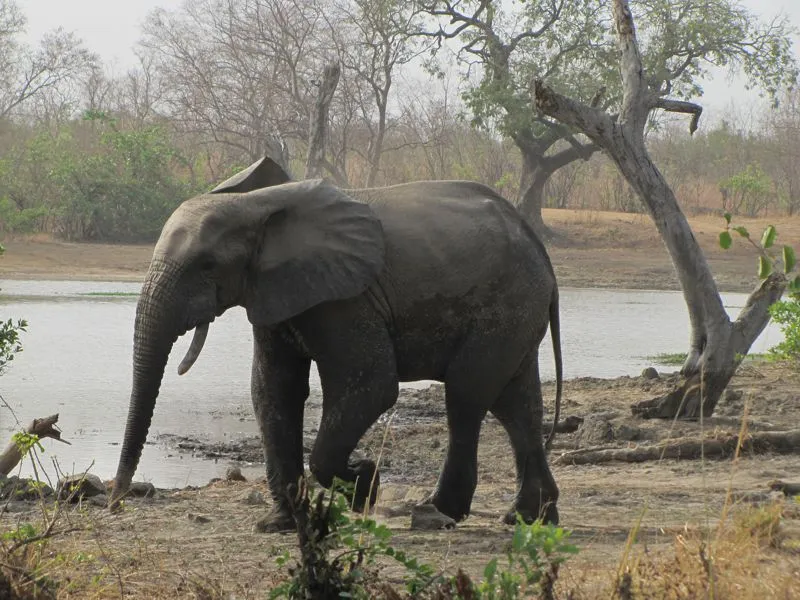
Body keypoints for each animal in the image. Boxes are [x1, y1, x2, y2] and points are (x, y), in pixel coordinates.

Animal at [110, 156, 563, 531]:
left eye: (207, 265)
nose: (116, 504)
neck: (254, 206)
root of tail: (538, 246)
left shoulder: (345, 298)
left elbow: (370, 385)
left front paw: (364, 484)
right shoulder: (275, 292)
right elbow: (273, 391)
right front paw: (278, 525)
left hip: (505, 303)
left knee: (466, 396)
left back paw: (442, 512)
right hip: (517, 310)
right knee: (515, 403)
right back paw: (528, 518)